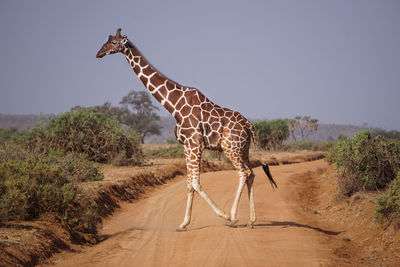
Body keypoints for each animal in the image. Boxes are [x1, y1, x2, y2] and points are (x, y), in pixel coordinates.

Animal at [97, 28, 278, 231]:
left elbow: (196, 183)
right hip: (243, 149)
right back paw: (251, 220)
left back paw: (233, 217)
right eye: (107, 40)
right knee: (251, 173)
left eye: (114, 43)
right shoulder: (186, 145)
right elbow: (189, 184)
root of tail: (249, 125)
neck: (173, 105)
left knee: (243, 173)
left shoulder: (194, 143)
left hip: (231, 148)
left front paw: (222, 215)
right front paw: (183, 223)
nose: (99, 53)